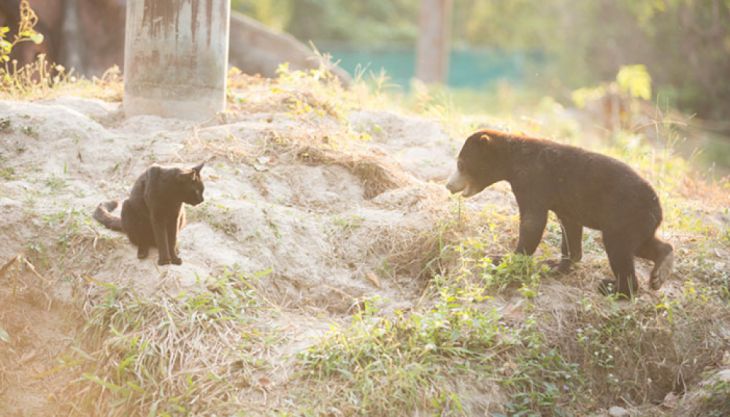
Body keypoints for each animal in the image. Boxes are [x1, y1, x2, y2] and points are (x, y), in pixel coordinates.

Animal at [446, 129, 673, 298]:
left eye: (460, 164)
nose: (449, 185)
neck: (513, 160)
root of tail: (658, 208)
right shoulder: (566, 204)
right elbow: (569, 228)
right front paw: (557, 264)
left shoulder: (534, 179)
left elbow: (533, 222)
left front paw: (503, 258)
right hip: (637, 221)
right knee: (641, 245)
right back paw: (660, 270)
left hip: (624, 214)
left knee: (619, 249)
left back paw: (616, 289)